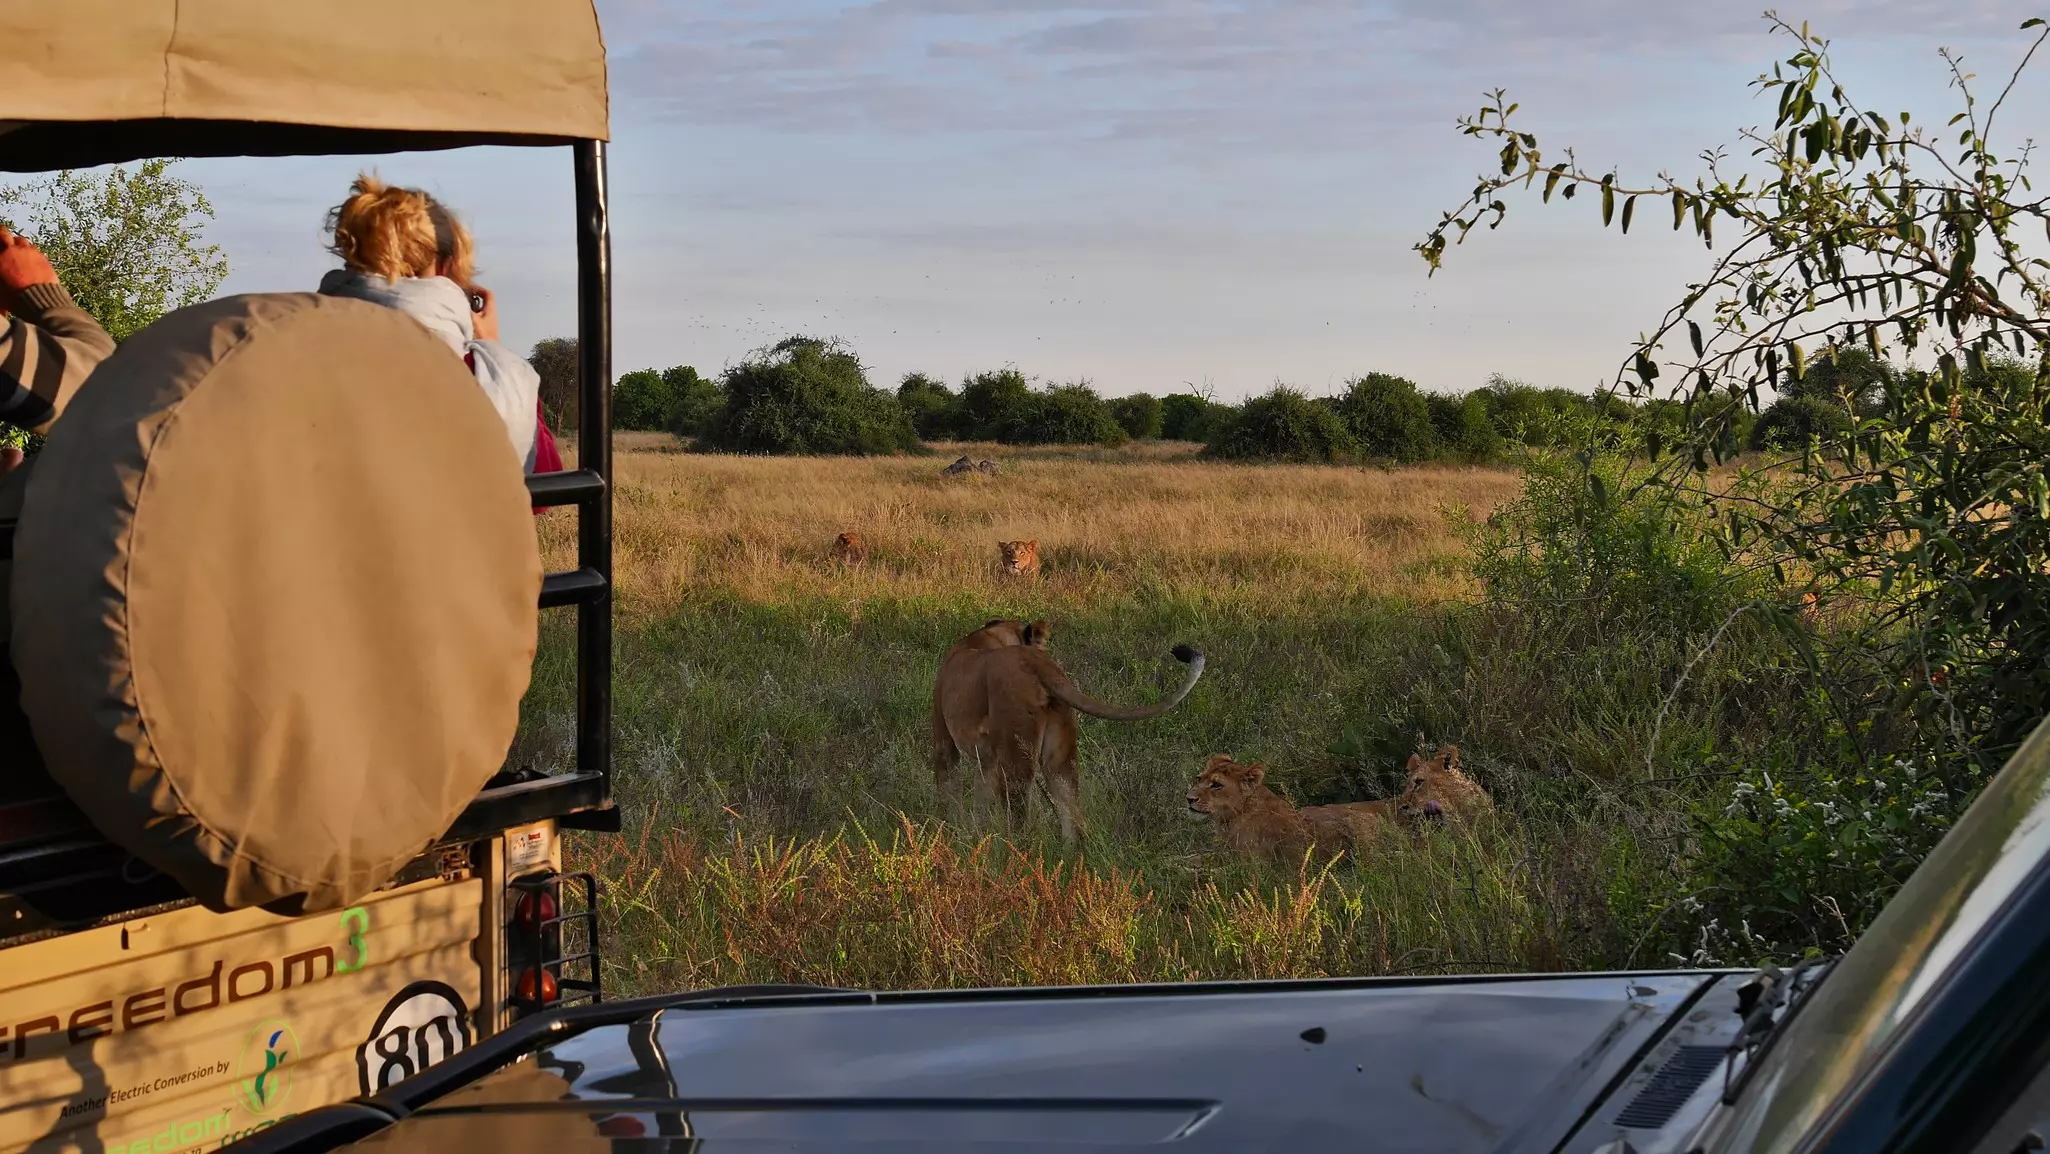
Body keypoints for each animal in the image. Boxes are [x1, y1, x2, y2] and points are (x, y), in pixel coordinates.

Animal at [933, 618, 1204, 843]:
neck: (991, 636)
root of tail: (1037, 662)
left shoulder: (944, 736)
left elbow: (948, 787)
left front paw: (950, 832)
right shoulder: (986, 759)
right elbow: (980, 798)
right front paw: (976, 834)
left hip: (1015, 752)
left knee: (1020, 816)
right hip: (1060, 752)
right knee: (1074, 818)